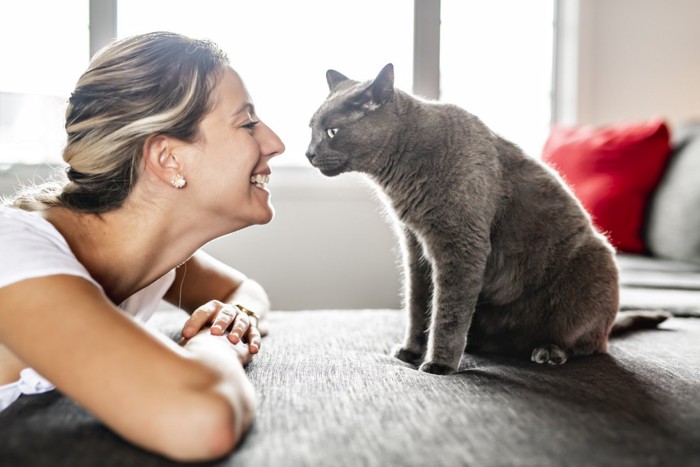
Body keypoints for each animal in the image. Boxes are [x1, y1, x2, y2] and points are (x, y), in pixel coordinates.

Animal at [304, 64, 668, 374]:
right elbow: (418, 305)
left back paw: (549, 350)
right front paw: (410, 351)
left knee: (590, 344)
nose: (308, 153)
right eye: (311, 130)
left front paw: (438, 365)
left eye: (332, 131)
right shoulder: (415, 248)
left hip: (595, 264)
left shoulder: (460, 246)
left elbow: (447, 312)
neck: (400, 177)